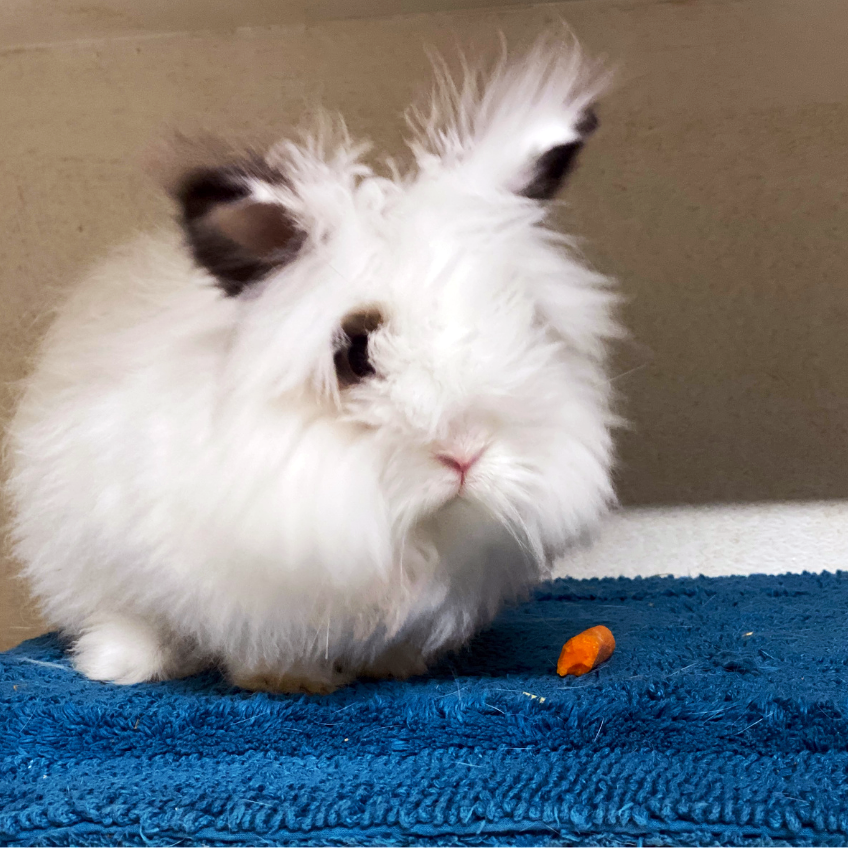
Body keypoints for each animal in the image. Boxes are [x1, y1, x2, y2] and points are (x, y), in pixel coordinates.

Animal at [5, 37, 619, 694]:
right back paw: (123, 663)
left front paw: (395, 667)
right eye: (355, 353)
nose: (465, 456)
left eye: (523, 319)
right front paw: (295, 681)